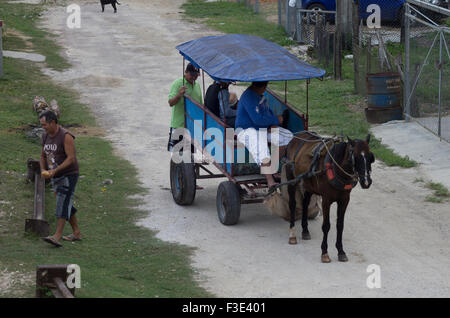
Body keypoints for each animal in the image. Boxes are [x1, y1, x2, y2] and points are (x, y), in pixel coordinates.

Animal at [284, 132, 374, 264]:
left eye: (370, 157)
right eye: (355, 157)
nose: (366, 182)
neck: (336, 168)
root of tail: (296, 136)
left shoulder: (344, 200)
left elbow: (340, 225)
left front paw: (341, 251)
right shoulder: (326, 200)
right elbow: (326, 226)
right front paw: (324, 252)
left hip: (309, 184)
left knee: (305, 203)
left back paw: (305, 230)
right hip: (292, 179)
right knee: (292, 204)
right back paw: (292, 235)